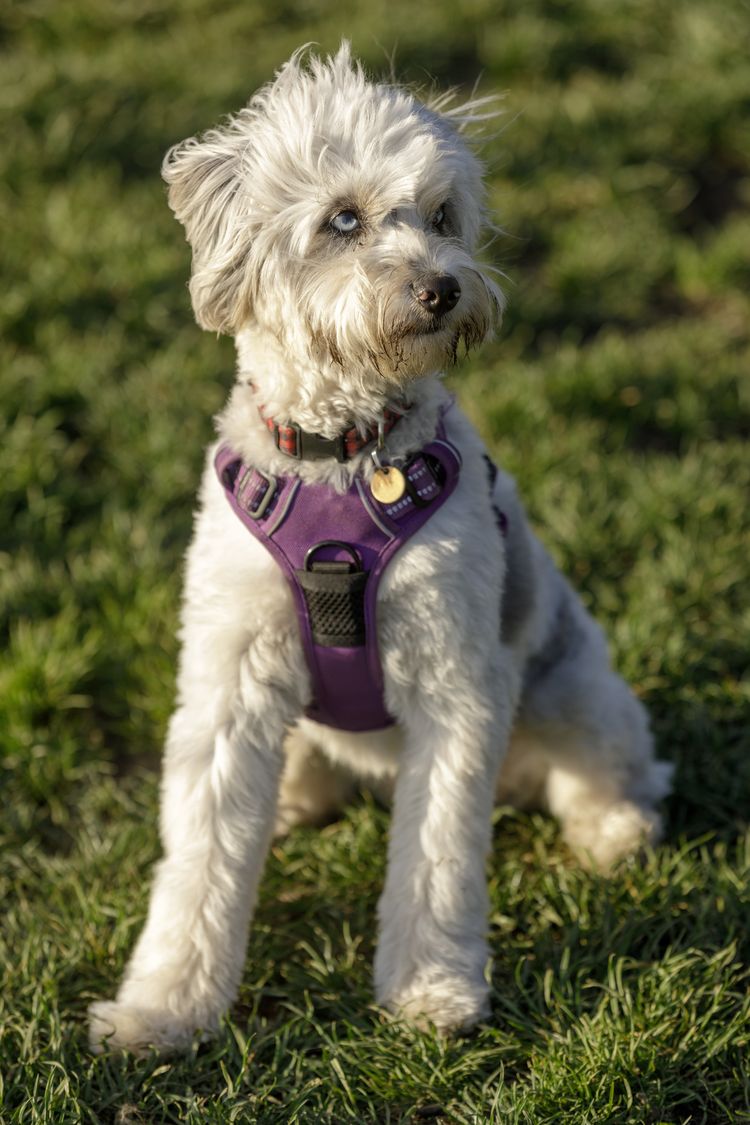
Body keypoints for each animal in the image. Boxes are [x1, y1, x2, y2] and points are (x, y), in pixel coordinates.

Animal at [89, 41, 674, 1053]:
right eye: (343, 218)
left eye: (442, 215)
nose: (443, 287)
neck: (343, 460)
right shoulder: (228, 681)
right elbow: (197, 862)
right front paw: (161, 1009)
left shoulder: (454, 682)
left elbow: (436, 858)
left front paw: (431, 990)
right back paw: (293, 800)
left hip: (575, 686)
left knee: (618, 765)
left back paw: (614, 832)